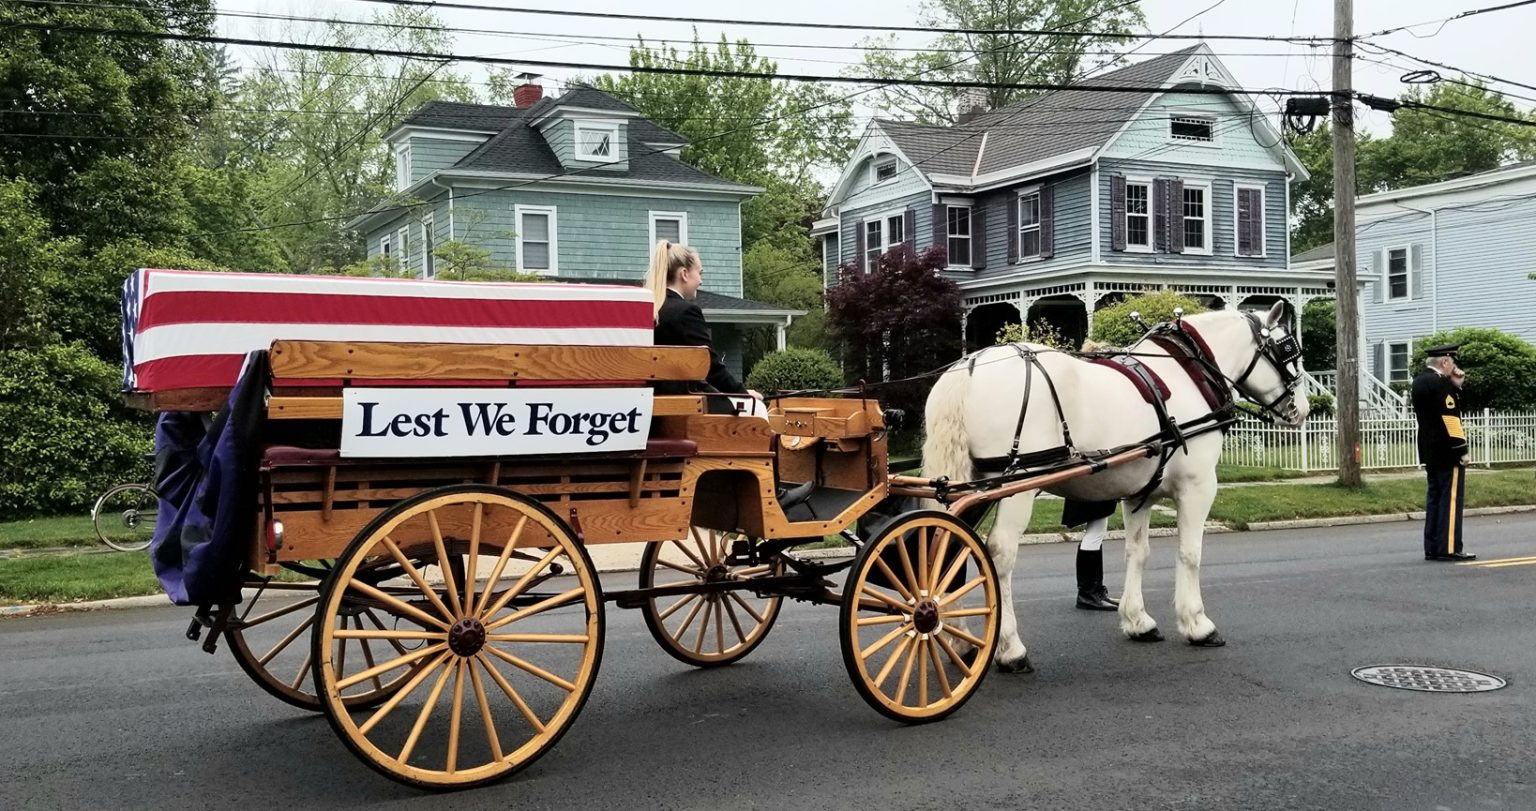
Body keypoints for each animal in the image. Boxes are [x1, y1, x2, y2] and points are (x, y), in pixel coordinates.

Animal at [921, 302, 1308, 672]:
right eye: (1289, 350)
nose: (1301, 410)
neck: (1187, 373)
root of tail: (971, 365)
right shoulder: (1198, 486)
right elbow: (1190, 553)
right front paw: (1198, 624)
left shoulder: (1139, 494)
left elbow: (1137, 552)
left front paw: (1138, 620)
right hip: (1017, 486)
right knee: (999, 554)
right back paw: (1010, 649)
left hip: (970, 488)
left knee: (948, 549)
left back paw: (960, 642)